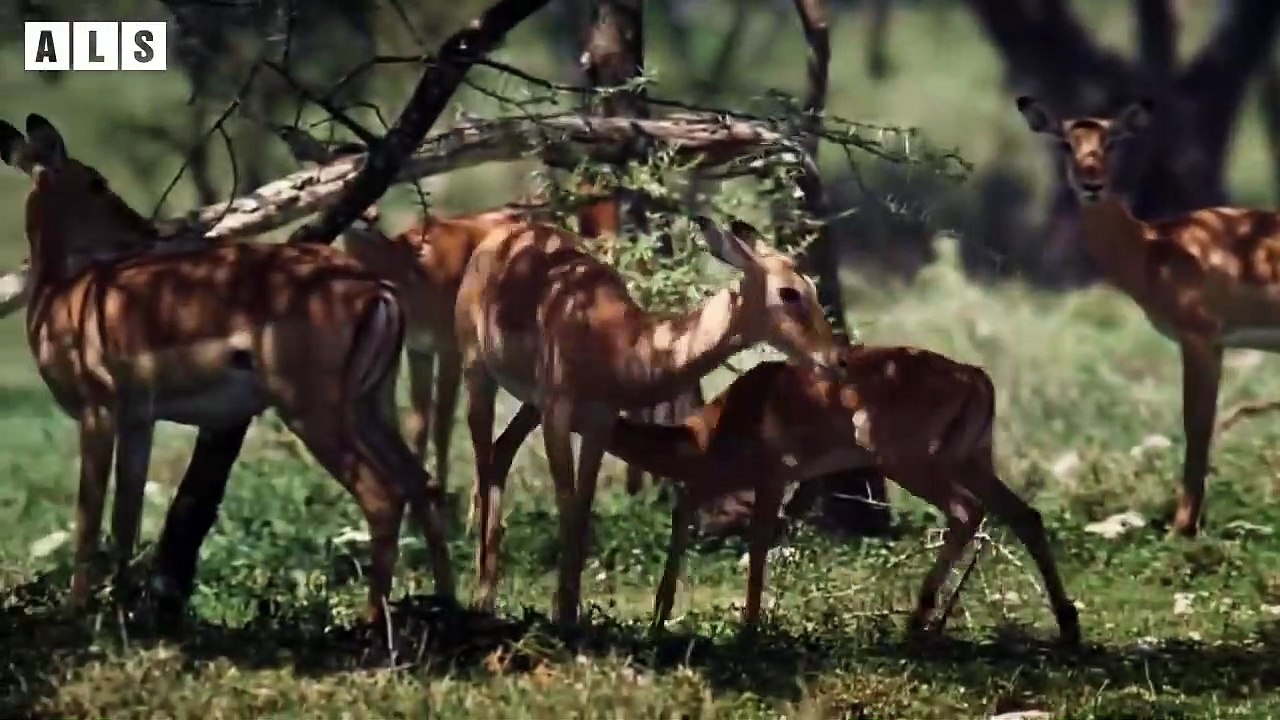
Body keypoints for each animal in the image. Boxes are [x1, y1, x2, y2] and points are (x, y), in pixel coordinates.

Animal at [0, 113, 454, 625]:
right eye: (96, 181)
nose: (146, 229)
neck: (62, 294)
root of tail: (374, 287)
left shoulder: (98, 412)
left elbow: (88, 513)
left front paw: (79, 610)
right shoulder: (138, 420)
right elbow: (125, 515)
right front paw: (120, 608)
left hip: (313, 413)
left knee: (383, 496)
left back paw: (372, 621)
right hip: (370, 406)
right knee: (423, 483)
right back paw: (450, 603)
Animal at [456, 214, 847, 625]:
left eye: (812, 289)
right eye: (789, 292)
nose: (836, 359)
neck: (618, 341)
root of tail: (503, 235)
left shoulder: (597, 423)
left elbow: (582, 510)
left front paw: (570, 610)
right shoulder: (557, 417)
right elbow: (567, 505)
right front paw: (563, 613)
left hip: (529, 405)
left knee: (500, 455)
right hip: (478, 373)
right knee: (484, 462)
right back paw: (481, 598)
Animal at [1017, 96, 1280, 538]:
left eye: (1111, 143)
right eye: (1066, 143)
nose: (1092, 185)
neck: (1154, 247)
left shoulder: (1201, 339)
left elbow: (1196, 426)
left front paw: (1181, 527)